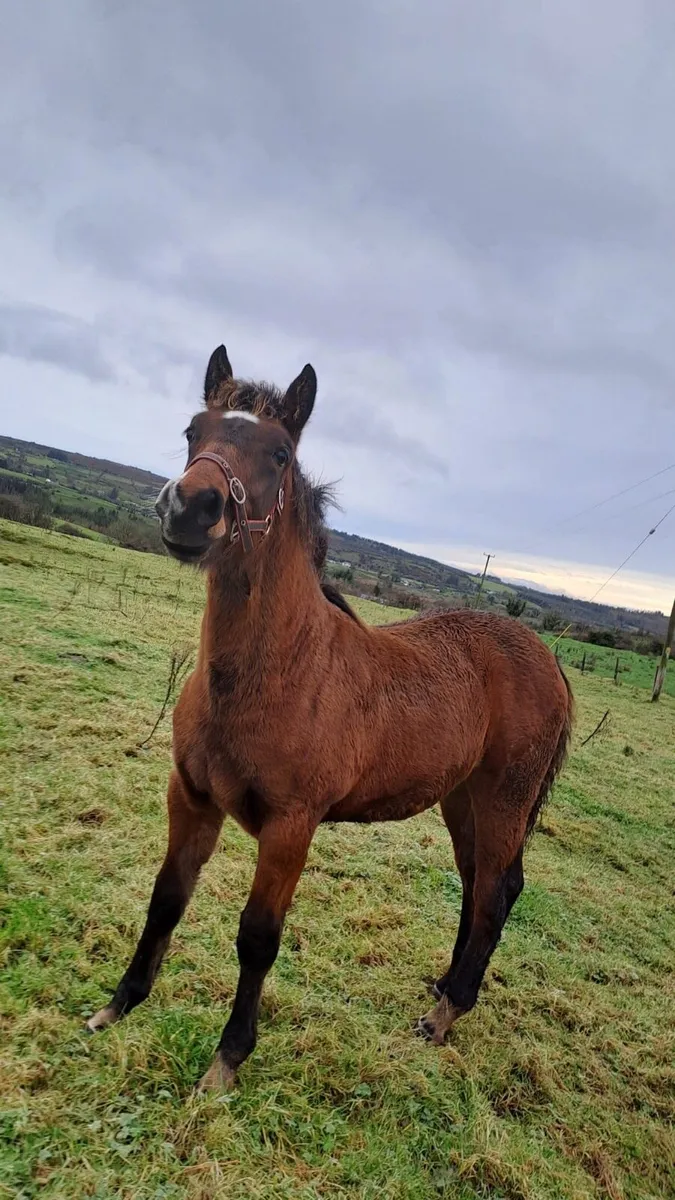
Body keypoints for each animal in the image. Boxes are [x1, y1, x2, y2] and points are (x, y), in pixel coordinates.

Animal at [87, 344, 573, 1091]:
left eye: (281, 453)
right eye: (194, 432)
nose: (191, 508)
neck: (278, 671)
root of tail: (548, 659)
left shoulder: (292, 825)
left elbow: (258, 937)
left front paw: (226, 1062)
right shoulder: (190, 795)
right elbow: (167, 897)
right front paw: (118, 1006)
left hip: (504, 797)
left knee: (495, 892)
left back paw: (443, 1016)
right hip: (462, 797)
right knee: (480, 886)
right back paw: (444, 987)